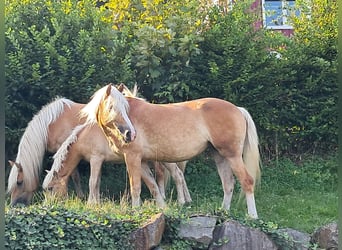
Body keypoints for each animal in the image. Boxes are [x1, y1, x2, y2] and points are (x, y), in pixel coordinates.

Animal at [81, 84, 262, 219]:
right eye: (112, 107)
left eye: (125, 108)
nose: (130, 134)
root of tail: (237, 109)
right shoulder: (143, 162)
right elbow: (153, 186)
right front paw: (163, 208)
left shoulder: (132, 158)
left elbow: (136, 187)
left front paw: (135, 211)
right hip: (220, 156)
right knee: (228, 183)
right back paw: (223, 212)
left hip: (233, 156)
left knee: (246, 181)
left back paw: (252, 216)